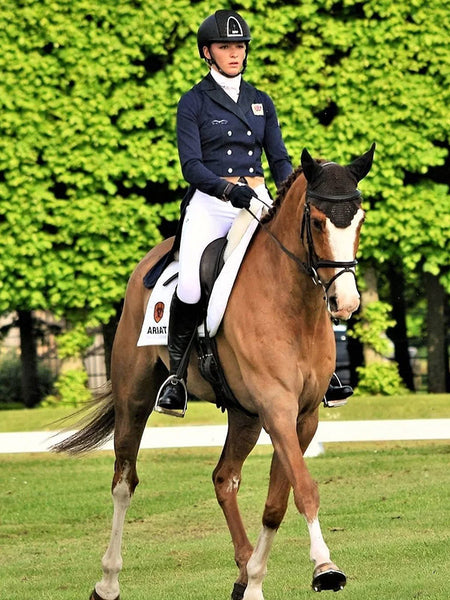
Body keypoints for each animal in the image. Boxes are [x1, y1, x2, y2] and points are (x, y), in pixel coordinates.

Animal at [53, 143, 376, 596]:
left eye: (359, 219)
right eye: (316, 221)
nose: (344, 303)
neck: (292, 305)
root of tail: (151, 260)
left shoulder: (302, 416)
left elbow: (277, 501)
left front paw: (258, 580)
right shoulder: (277, 408)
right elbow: (305, 489)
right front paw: (325, 568)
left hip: (244, 415)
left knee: (225, 478)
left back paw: (243, 572)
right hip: (134, 399)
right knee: (123, 483)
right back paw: (108, 582)